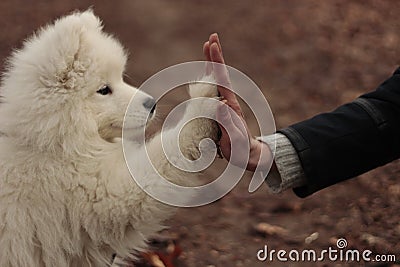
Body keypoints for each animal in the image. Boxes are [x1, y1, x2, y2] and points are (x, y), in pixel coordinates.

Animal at [0, 9, 219, 266]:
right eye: (104, 90)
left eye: (120, 78)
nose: (152, 104)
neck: (52, 144)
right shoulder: (103, 196)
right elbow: (162, 159)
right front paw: (204, 103)